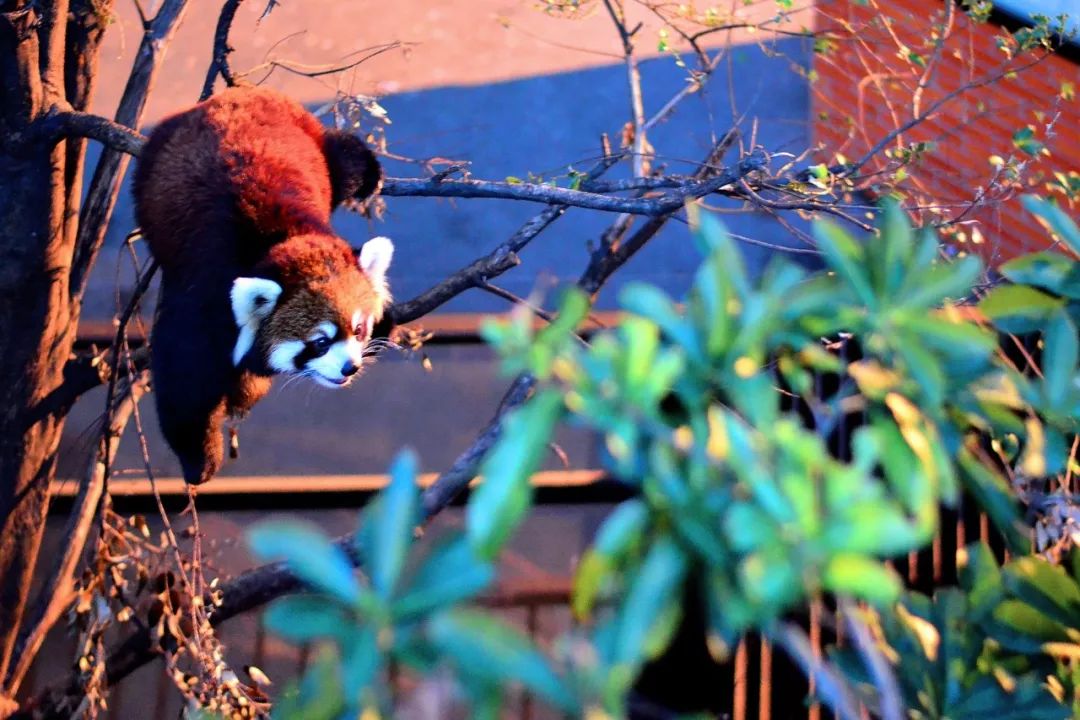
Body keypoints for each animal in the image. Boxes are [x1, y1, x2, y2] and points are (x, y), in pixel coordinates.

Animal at [131, 87, 393, 487]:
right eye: (319, 342)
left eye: (359, 329)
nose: (350, 367)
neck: (278, 241)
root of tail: (243, 94)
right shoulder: (203, 302)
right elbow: (185, 380)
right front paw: (199, 460)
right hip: (152, 163)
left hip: (314, 140)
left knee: (343, 158)